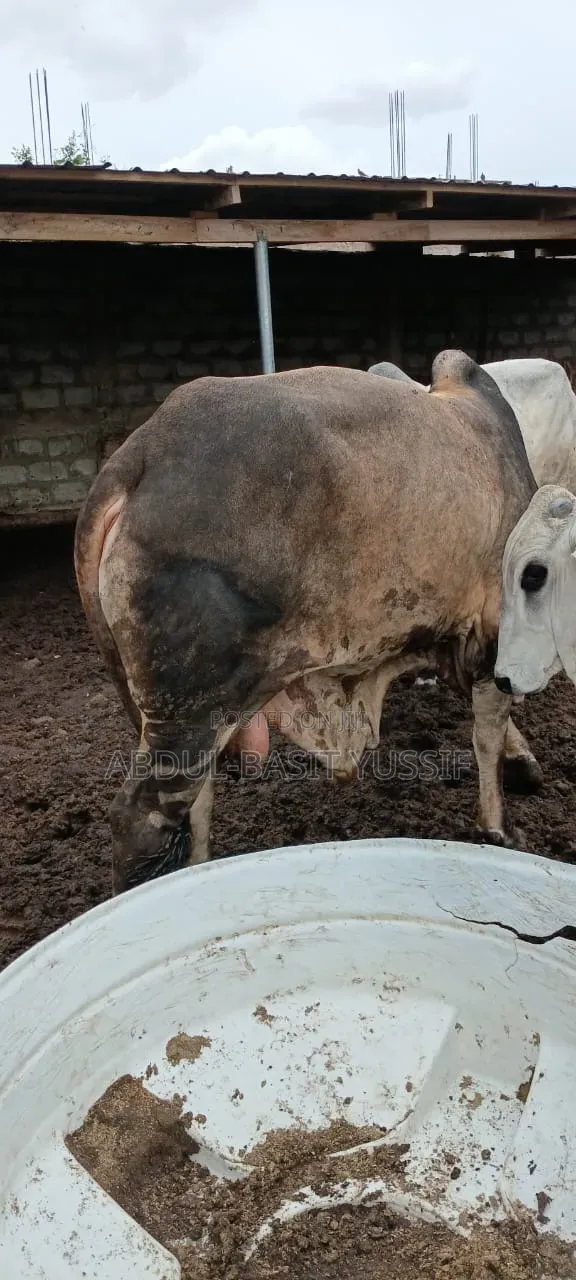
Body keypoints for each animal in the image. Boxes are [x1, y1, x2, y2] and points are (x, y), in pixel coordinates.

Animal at [75, 351, 538, 894]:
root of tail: (142, 453)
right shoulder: (492, 633)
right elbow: (488, 734)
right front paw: (498, 825)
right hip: (191, 708)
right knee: (141, 820)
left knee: (197, 804)